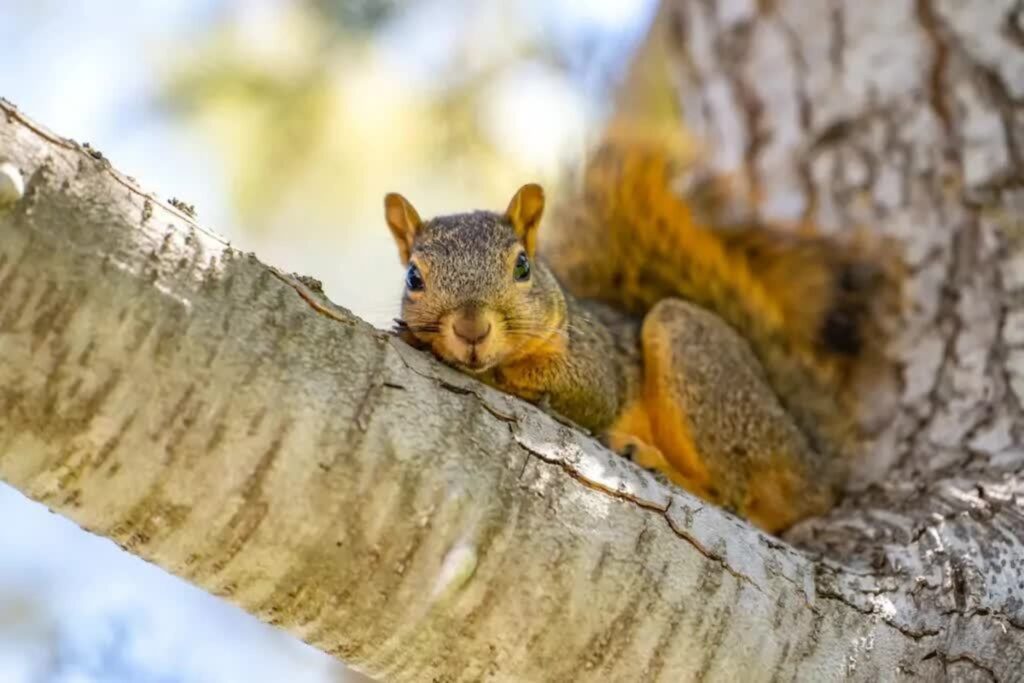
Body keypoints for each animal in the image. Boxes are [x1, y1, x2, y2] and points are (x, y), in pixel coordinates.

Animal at [383, 130, 898, 533]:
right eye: (413, 277)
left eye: (523, 266)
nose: (471, 328)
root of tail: (816, 467)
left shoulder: (593, 362)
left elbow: (578, 389)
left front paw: (443, 352)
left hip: (701, 366)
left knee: (732, 497)